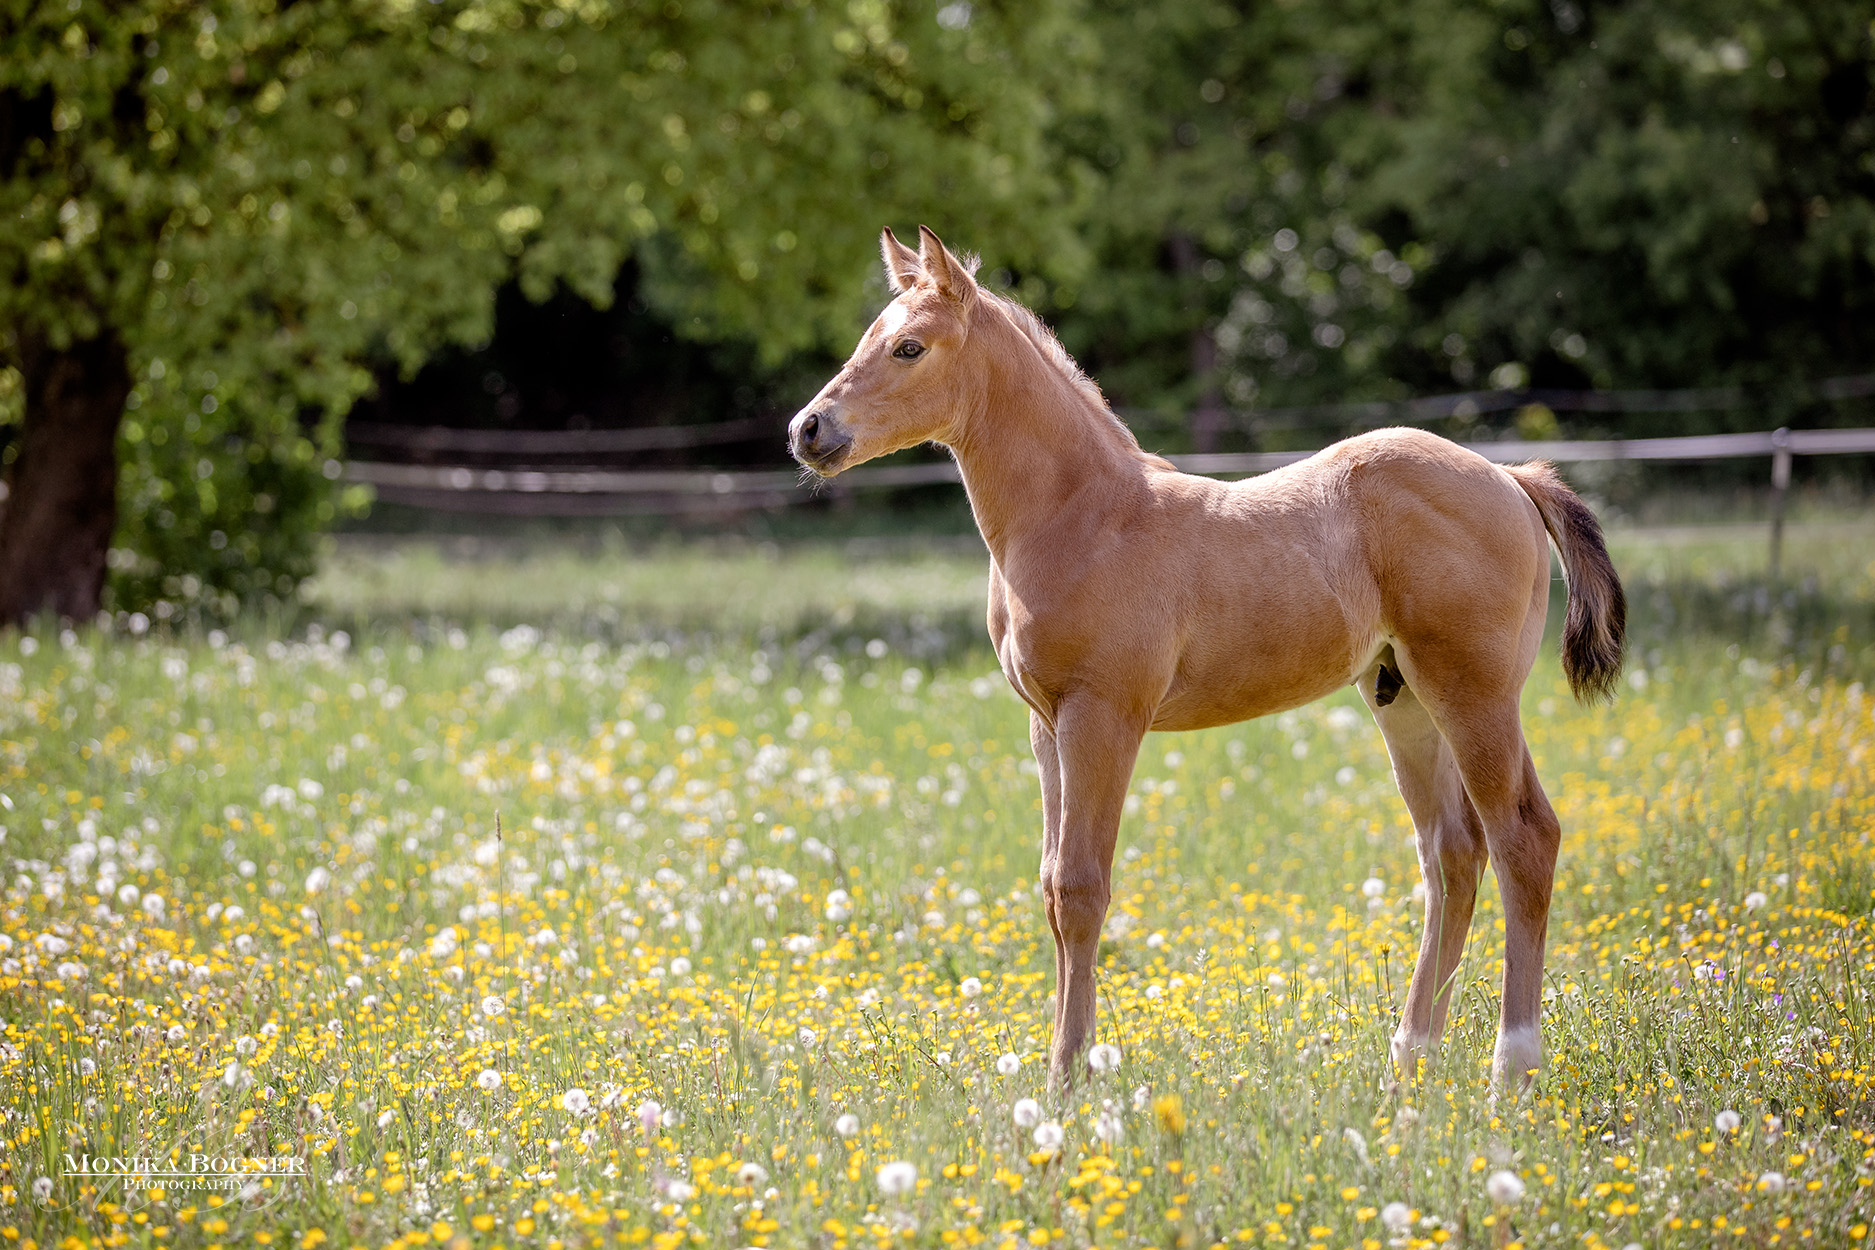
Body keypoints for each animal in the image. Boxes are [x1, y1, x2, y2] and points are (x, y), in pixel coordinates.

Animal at [789, 226, 1625, 1093]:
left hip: (1474, 692)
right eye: (868, 337)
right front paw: (1059, 1068)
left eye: (909, 347)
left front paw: (1068, 1079)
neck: (1082, 516)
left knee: (1523, 838)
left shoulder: (1103, 715)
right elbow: (1051, 888)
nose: (807, 432)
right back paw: (1408, 1062)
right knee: (1452, 855)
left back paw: (1509, 1069)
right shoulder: (1044, 725)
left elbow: (1082, 889)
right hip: (1401, 697)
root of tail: (1512, 478)